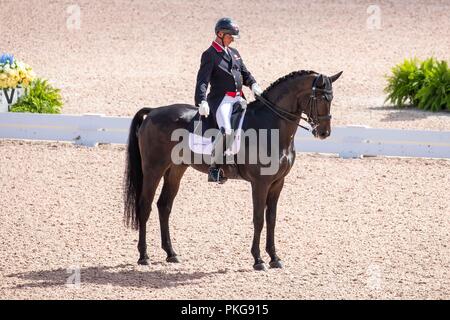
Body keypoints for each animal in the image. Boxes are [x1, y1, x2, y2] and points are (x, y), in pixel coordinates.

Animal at [122, 69, 342, 270]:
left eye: (331, 98)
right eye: (320, 97)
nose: (324, 133)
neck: (272, 127)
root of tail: (153, 112)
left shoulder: (278, 182)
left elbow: (271, 219)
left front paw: (274, 258)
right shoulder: (260, 183)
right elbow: (258, 219)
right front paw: (258, 260)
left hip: (175, 170)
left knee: (164, 206)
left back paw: (171, 254)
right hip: (153, 168)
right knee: (145, 206)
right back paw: (144, 256)